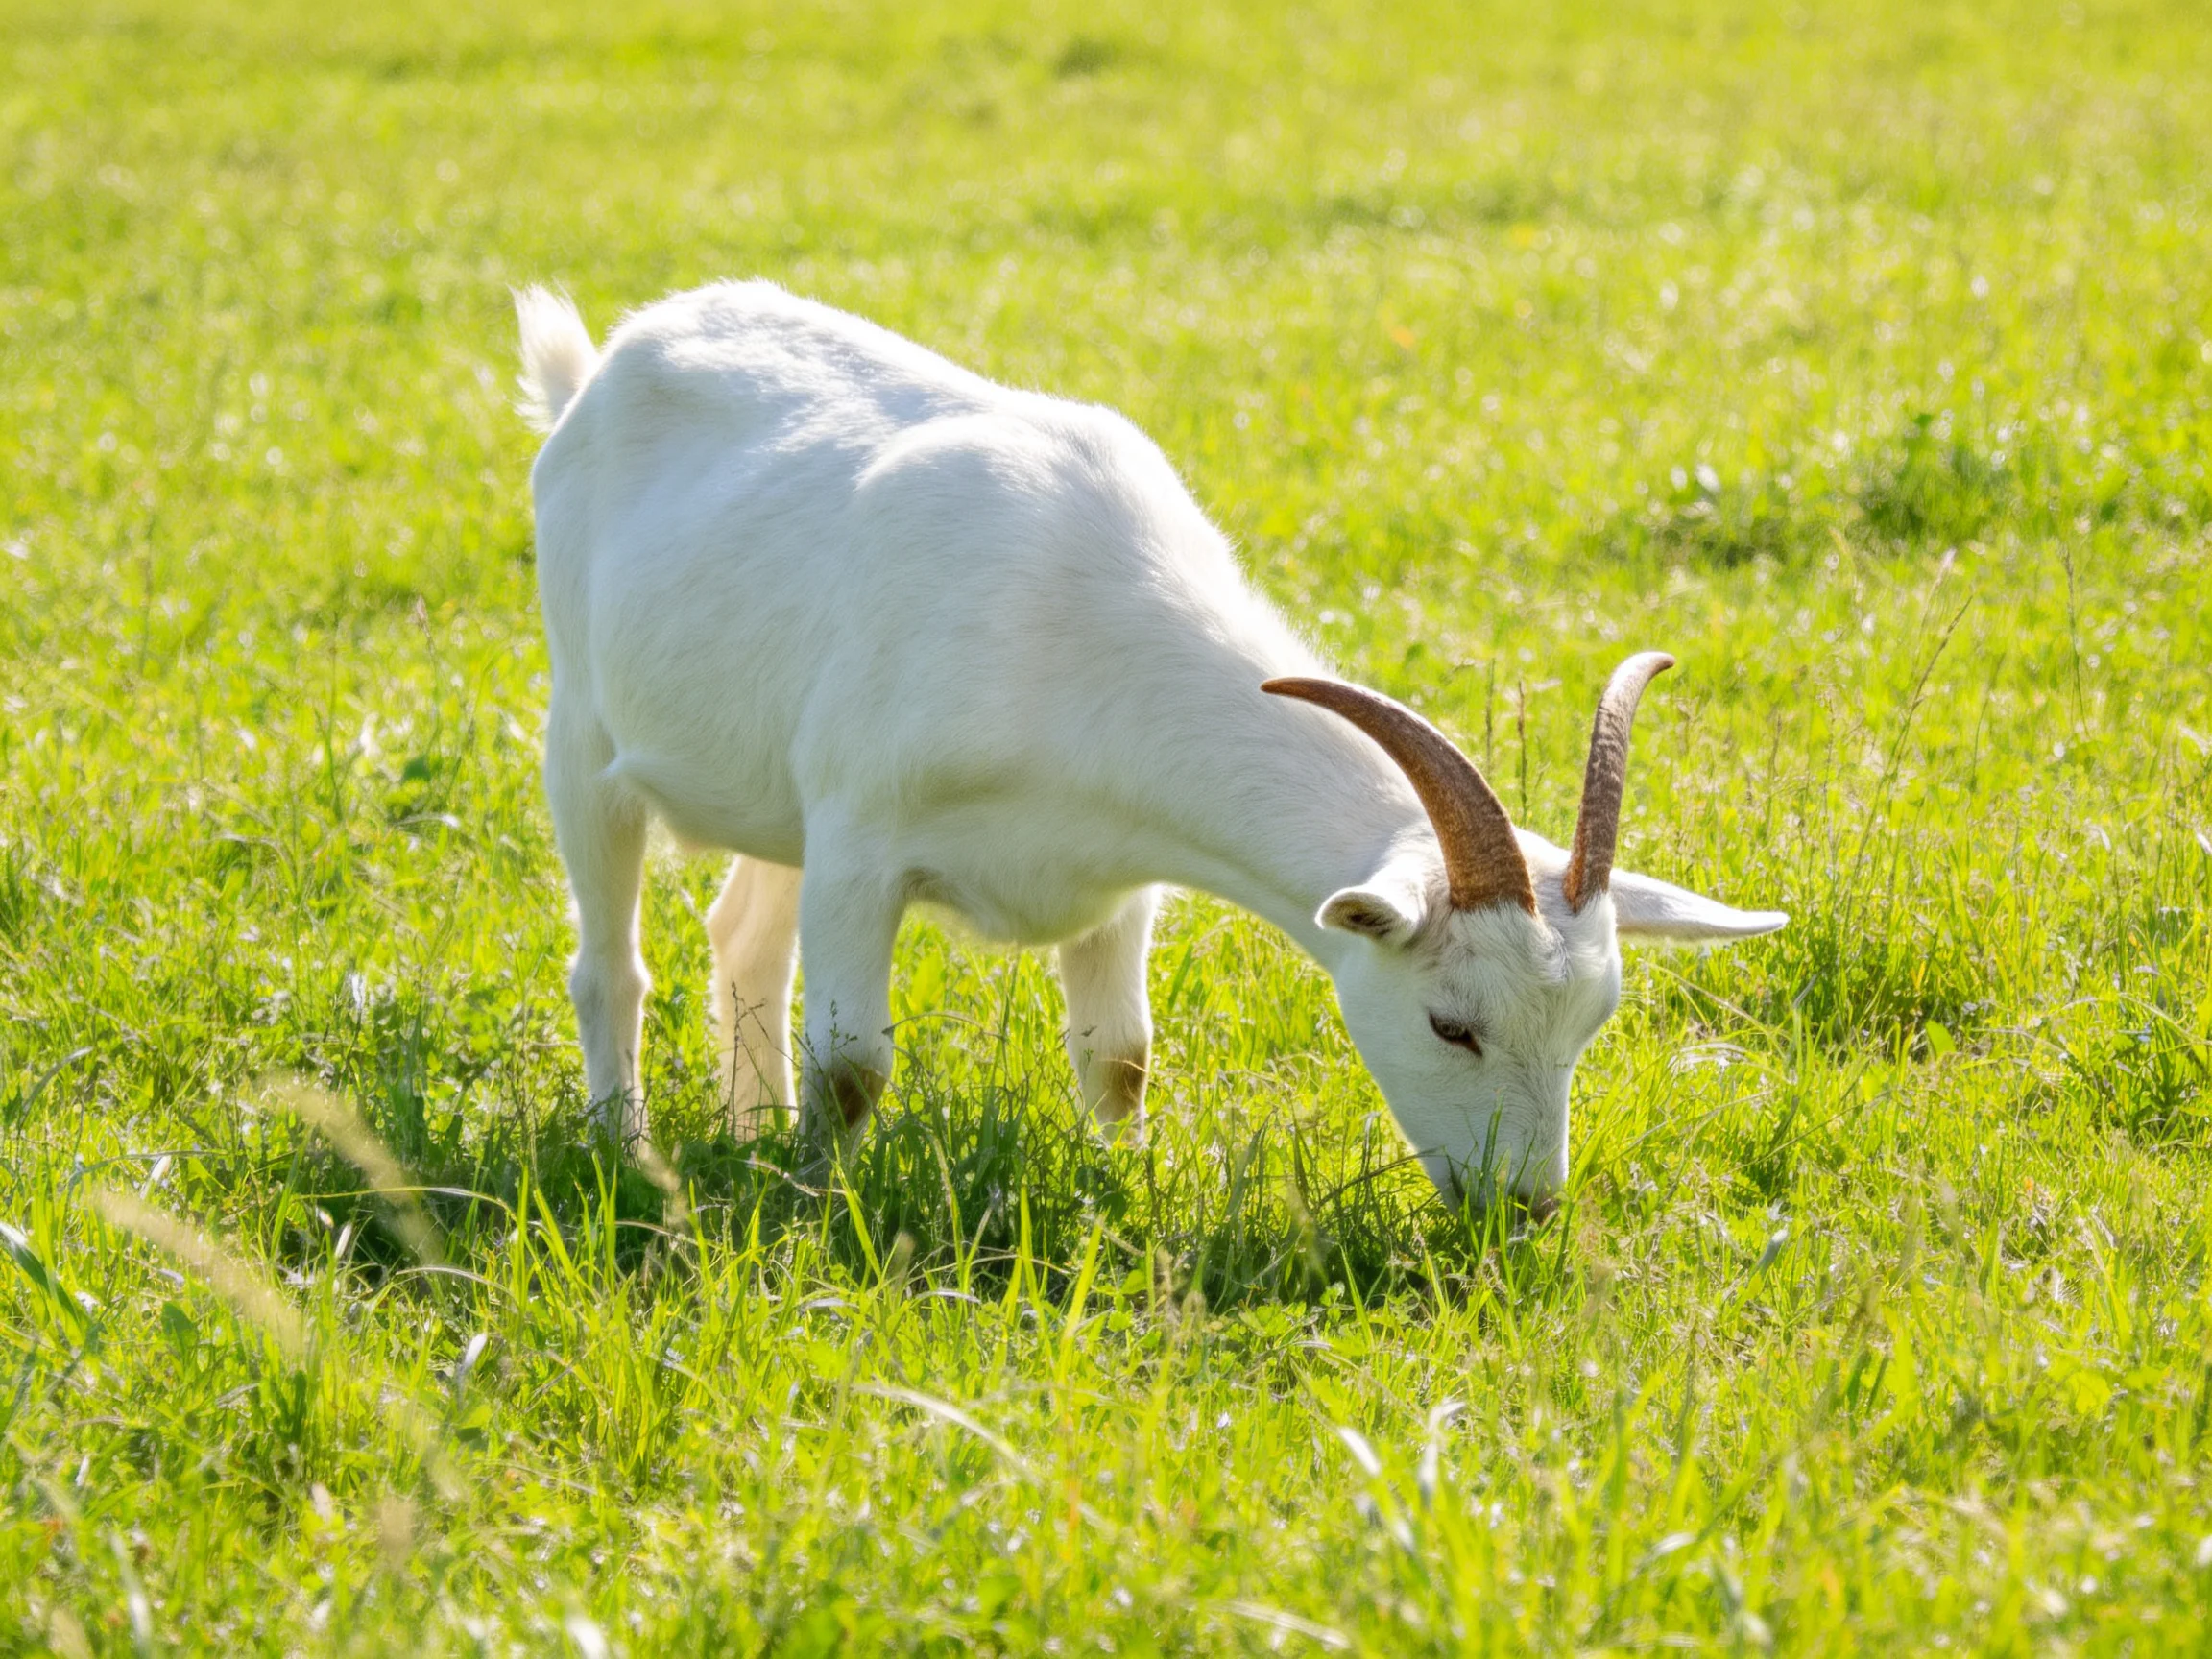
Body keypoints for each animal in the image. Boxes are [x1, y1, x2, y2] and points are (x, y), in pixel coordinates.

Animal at [516, 281, 1786, 1209]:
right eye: (1451, 1026)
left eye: (1589, 1026)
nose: (1522, 1209)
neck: (1067, 619)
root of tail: (603, 367)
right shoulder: (859, 848)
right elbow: (854, 1068)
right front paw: (822, 1211)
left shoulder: (1114, 879)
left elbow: (1119, 1054)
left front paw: (1114, 1183)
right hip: (583, 731)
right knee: (611, 964)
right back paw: (626, 1149)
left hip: (773, 797)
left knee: (744, 940)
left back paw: (747, 1127)